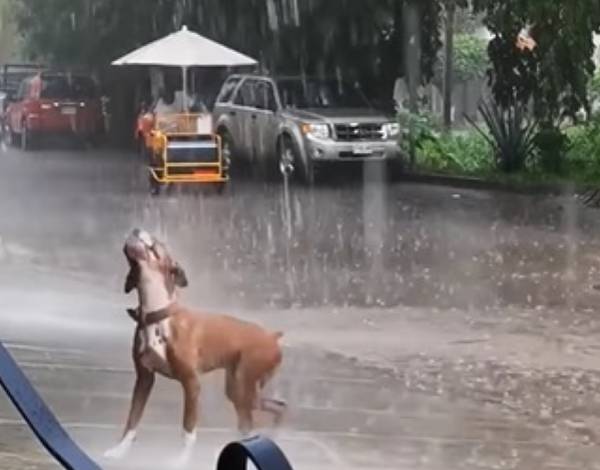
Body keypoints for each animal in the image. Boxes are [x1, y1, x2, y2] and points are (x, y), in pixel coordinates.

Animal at [103, 229, 286, 464]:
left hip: (243, 385)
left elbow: (188, 429)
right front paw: (119, 450)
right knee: (269, 412)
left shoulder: (191, 383)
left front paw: (182, 460)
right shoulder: (144, 380)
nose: (136, 229)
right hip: (238, 389)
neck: (157, 315)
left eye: (158, 241)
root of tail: (272, 337)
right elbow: (132, 420)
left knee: (254, 419)